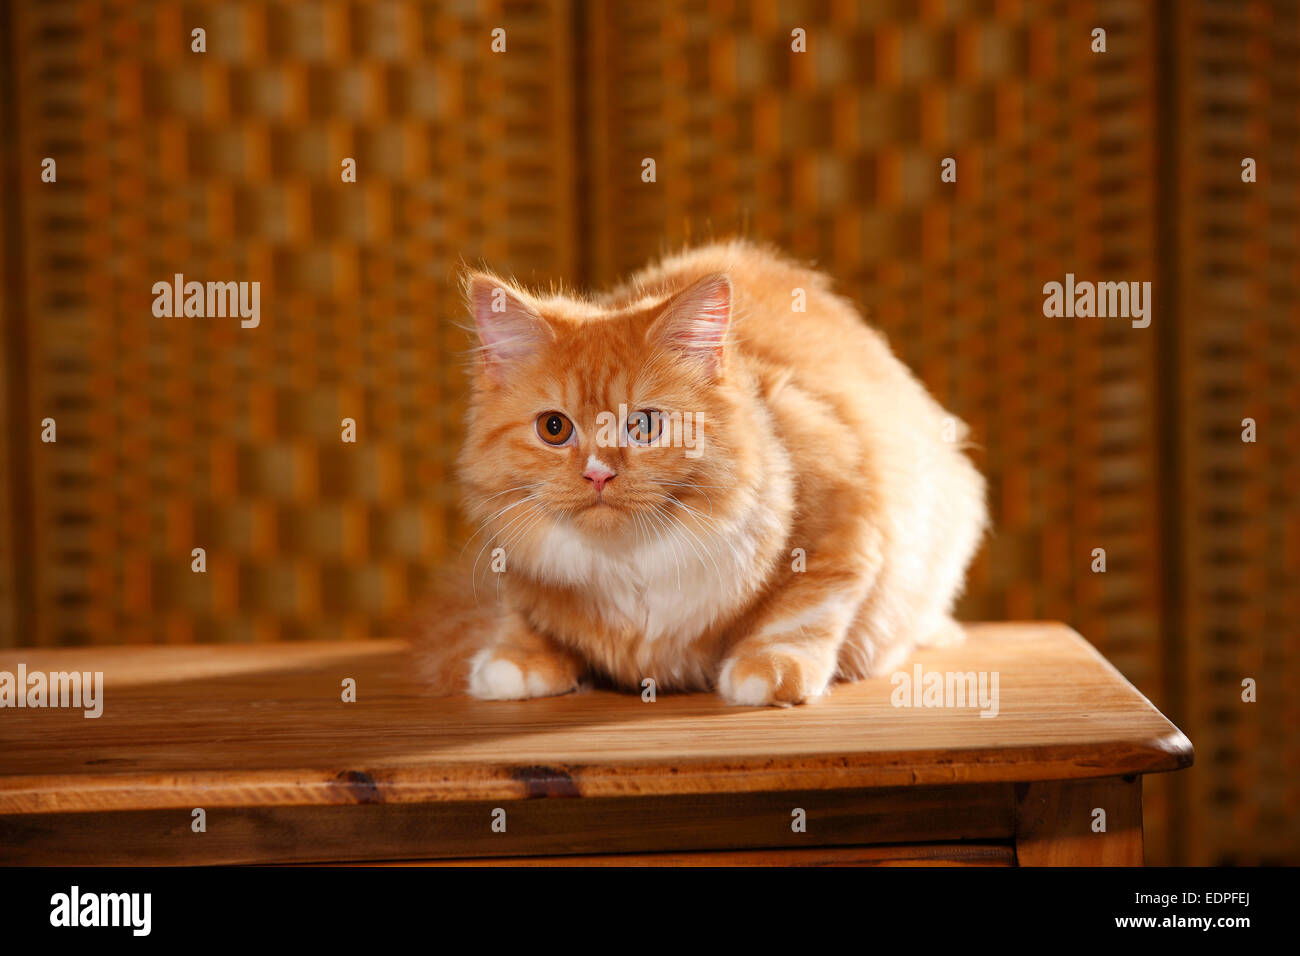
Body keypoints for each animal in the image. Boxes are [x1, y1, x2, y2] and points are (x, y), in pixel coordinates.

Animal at [416, 236, 982, 707]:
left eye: (644, 425)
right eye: (554, 428)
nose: (598, 475)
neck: (629, 564)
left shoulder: (846, 517)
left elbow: (803, 610)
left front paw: (767, 671)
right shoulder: (510, 558)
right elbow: (522, 616)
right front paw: (516, 662)